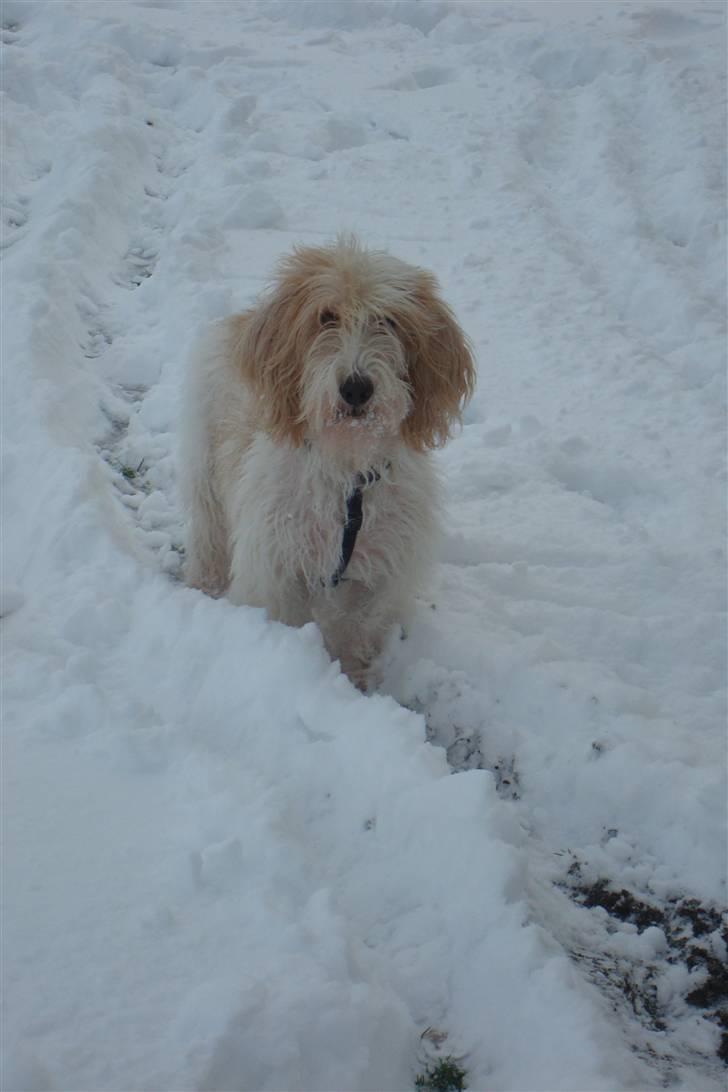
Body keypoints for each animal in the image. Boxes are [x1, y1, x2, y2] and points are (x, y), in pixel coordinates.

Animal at [181, 238, 475, 685]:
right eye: (326, 317)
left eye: (388, 320)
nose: (356, 388)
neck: (347, 474)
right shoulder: (276, 569)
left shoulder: (381, 577)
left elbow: (361, 634)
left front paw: (355, 682)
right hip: (206, 475)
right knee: (209, 537)